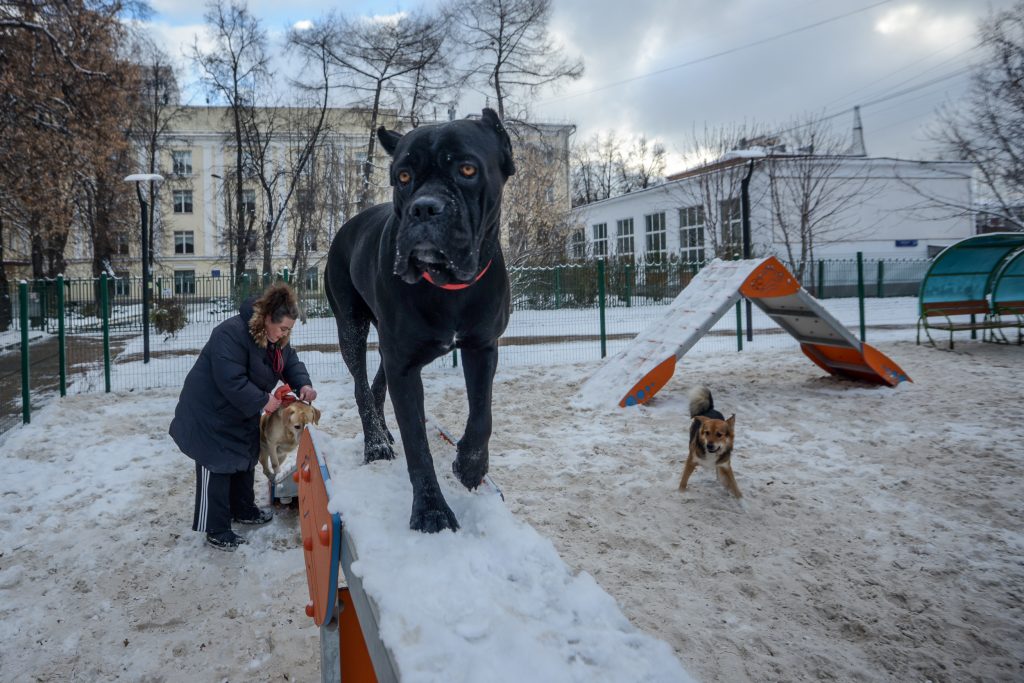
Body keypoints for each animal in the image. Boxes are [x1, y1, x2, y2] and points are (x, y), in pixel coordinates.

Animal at [327, 108, 516, 532]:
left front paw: (470, 466)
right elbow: (417, 443)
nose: (424, 208)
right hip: (351, 326)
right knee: (361, 387)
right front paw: (431, 512)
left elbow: (483, 414)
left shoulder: (482, 347)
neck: (448, 286)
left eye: (467, 169)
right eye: (403, 176)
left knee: (376, 385)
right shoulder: (404, 364)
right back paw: (376, 443)